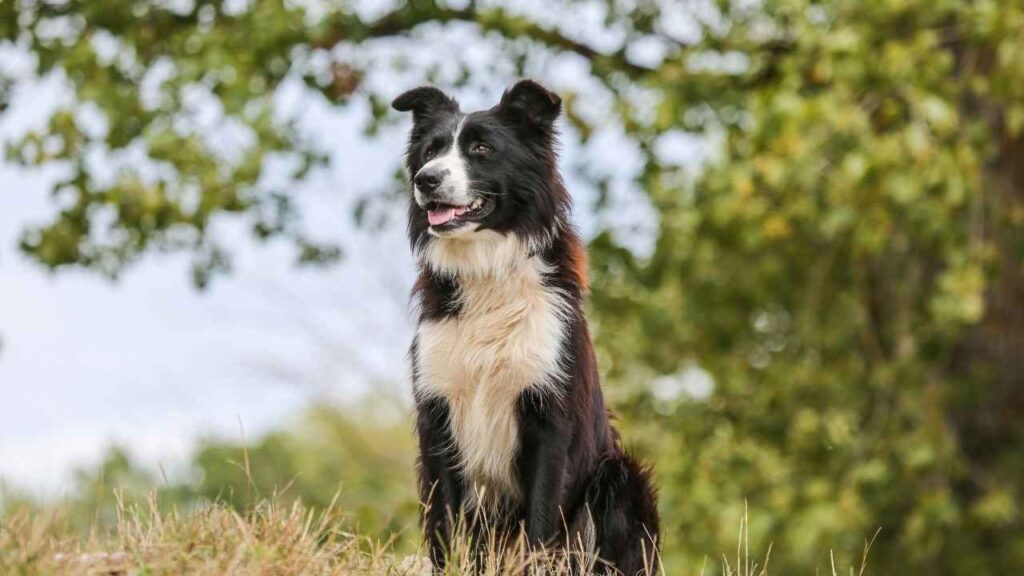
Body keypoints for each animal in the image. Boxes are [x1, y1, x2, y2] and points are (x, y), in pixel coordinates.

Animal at [391, 78, 663, 569]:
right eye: (429, 151)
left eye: (481, 148)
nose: (426, 180)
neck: (486, 270)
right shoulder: (438, 415)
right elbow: (445, 523)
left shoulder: (549, 419)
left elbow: (540, 520)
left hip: (620, 477)